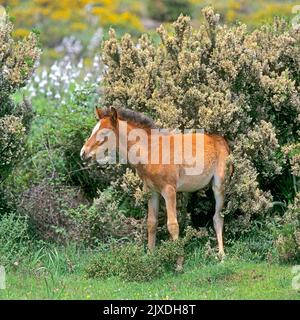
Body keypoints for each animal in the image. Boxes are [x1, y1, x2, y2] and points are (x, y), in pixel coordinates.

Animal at [81, 107, 231, 268]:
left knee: (218, 218)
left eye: (104, 134)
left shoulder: (169, 190)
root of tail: (221, 140)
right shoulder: (152, 191)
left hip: (219, 186)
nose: (83, 153)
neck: (151, 151)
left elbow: (172, 225)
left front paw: (179, 264)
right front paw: (150, 258)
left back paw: (222, 256)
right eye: (93, 130)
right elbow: (151, 223)